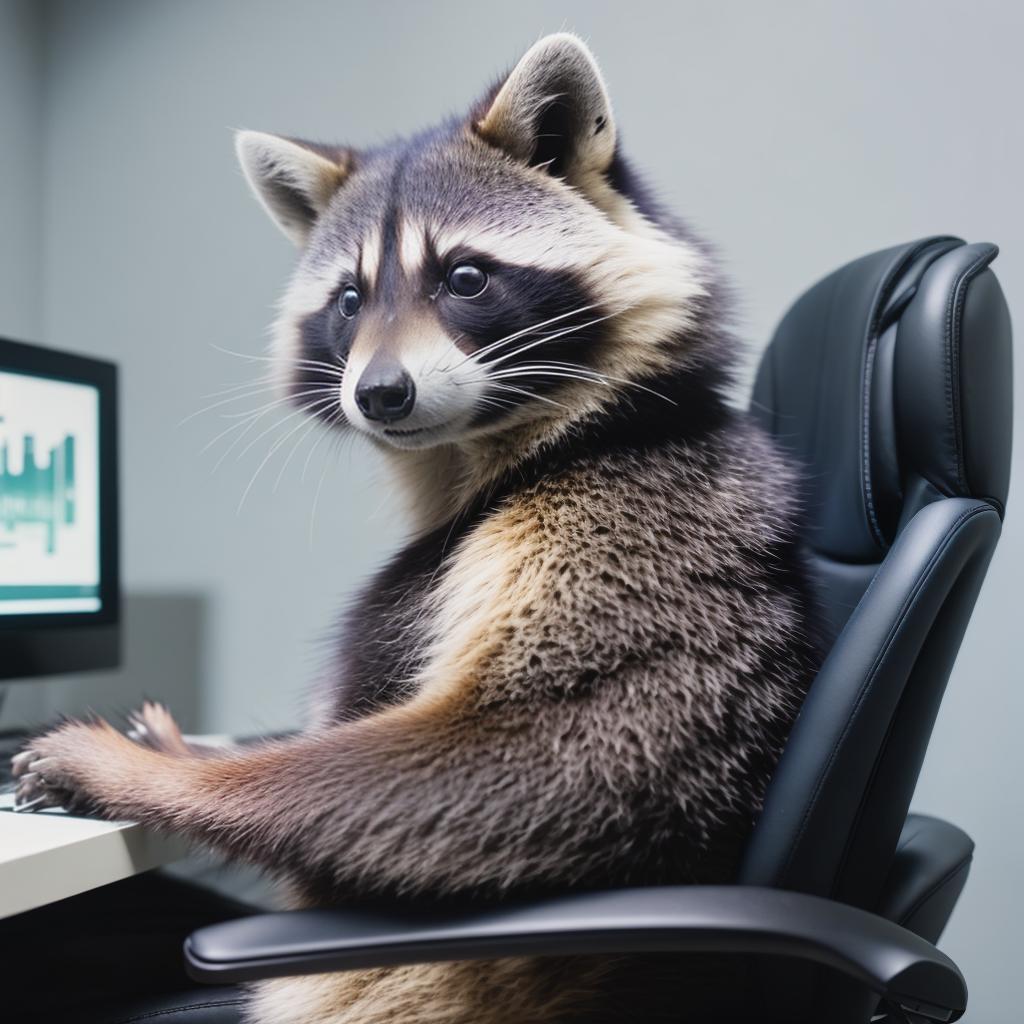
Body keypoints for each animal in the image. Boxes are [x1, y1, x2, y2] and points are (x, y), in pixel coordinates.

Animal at [12, 32, 819, 1024]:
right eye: (349, 300)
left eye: (465, 277)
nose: (381, 394)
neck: (513, 451)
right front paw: (175, 741)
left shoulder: (635, 518)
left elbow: (542, 762)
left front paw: (147, 770)